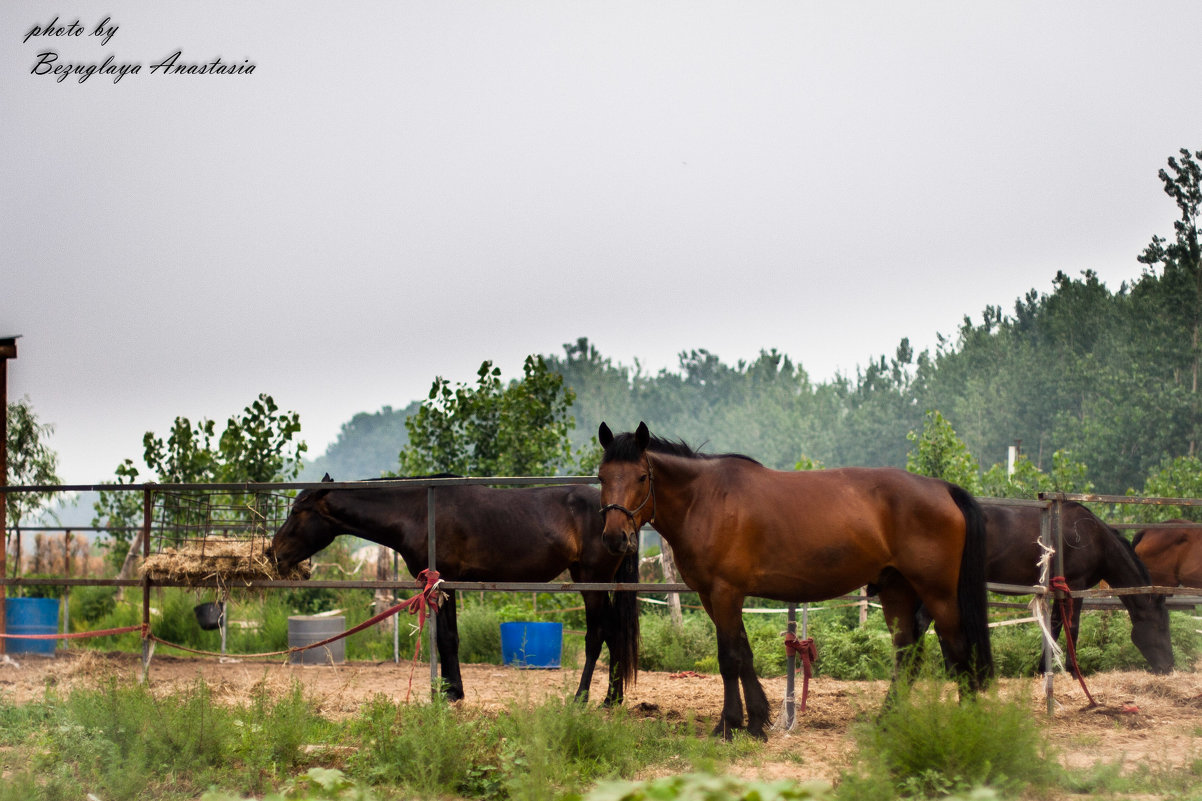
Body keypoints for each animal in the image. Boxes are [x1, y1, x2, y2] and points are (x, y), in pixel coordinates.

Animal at [265, 473, 639, 697]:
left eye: (297, 511)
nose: (272, 552)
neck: (417, 511)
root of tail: (620, 517)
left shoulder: (443, 581)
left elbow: (445, 638)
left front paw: (448, 693)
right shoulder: (446, 585)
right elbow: (450, 638)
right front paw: (451, 689)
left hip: (591, 581)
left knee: (598, 635)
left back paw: (583, 698)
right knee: (614, 633)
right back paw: (612, 699)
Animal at [593, 420, 995, 740]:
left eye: (642, 477)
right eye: (601, 477)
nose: (614, 538)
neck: (706, 499)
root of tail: (942, 488)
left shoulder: (725, 593)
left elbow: (729, 658)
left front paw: (728, 725)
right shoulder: (713, 596)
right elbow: (744, 653)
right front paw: (755, 722)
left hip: (939, 593)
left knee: (960, 650)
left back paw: (968, 723)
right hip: (897, 589)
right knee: (907, 653)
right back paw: (887, 721)